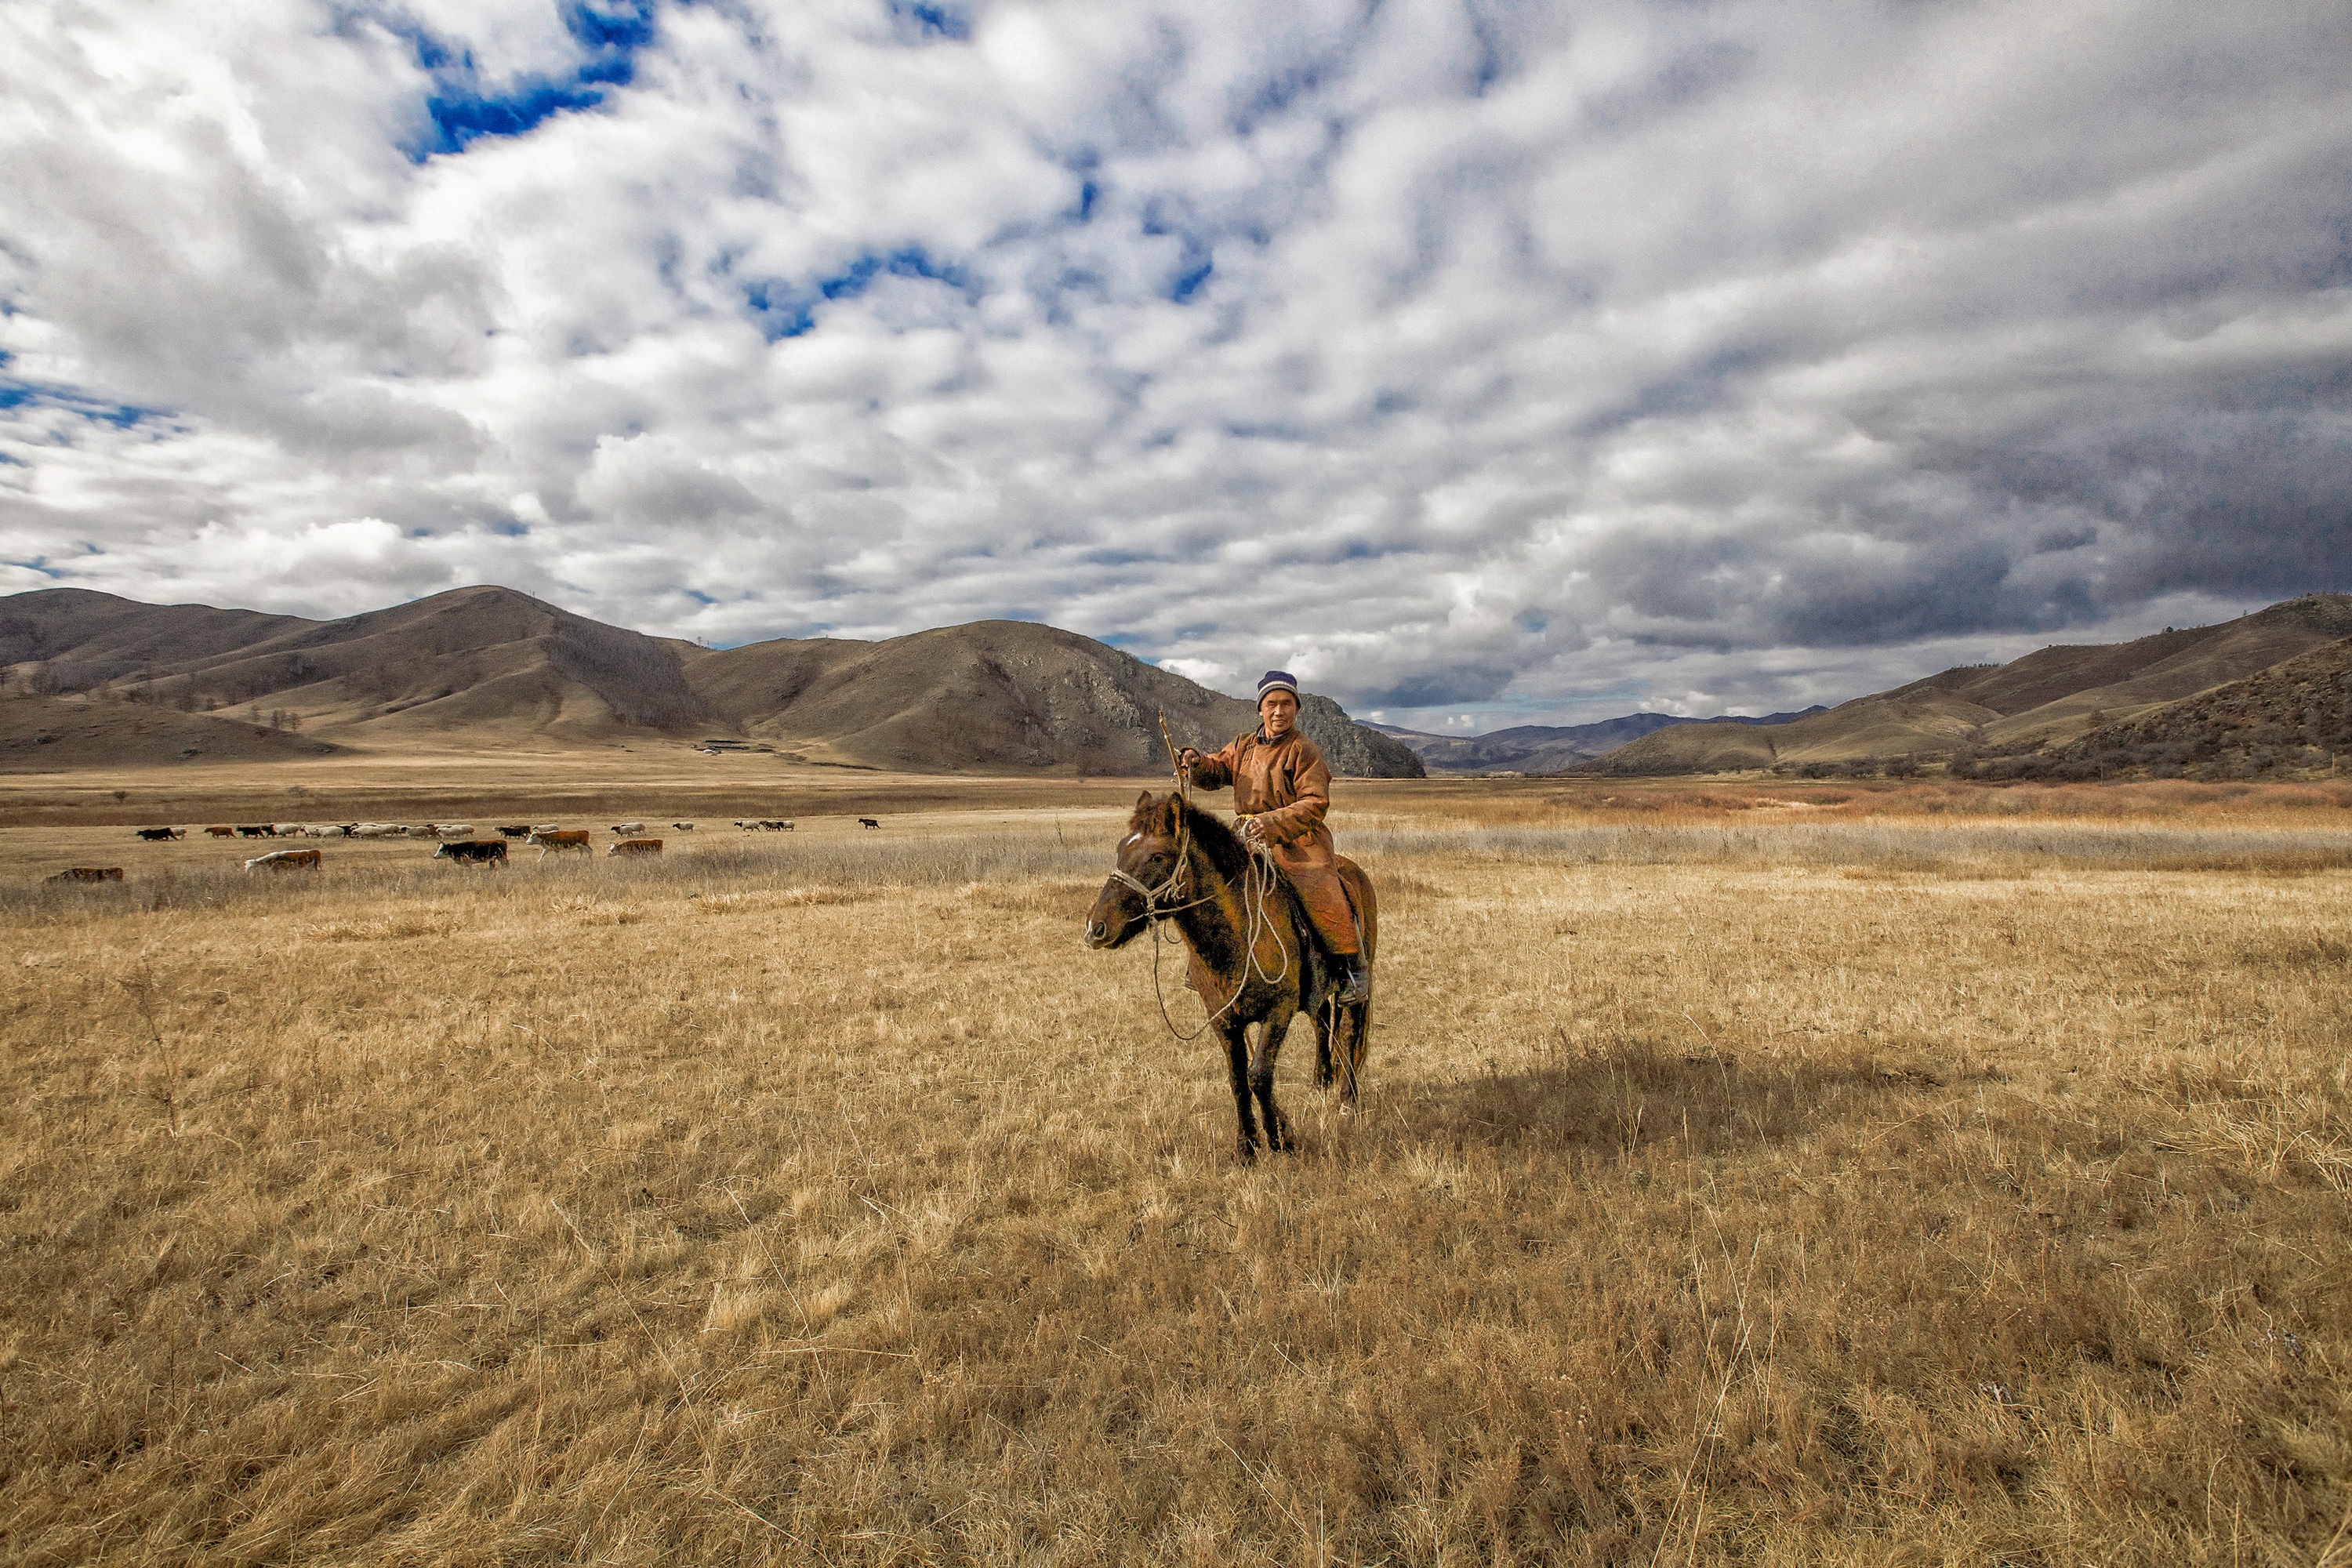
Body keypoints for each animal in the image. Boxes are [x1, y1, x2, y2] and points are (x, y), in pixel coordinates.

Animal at [1084, 790, 1377, 1161]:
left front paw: (1281, 1139)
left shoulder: (1278, 1011)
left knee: (1351, 1032)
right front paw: (1247, 1146)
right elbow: (1238, 1079)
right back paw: (1320, 1081)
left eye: (1157, 856)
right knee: (1321, 1018)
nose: (1096, 928)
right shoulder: (1223, 1019)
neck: (1237, 936)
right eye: (1122, 849)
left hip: (1356, 982)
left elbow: (1259, 1075)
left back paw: (1347, 1101)